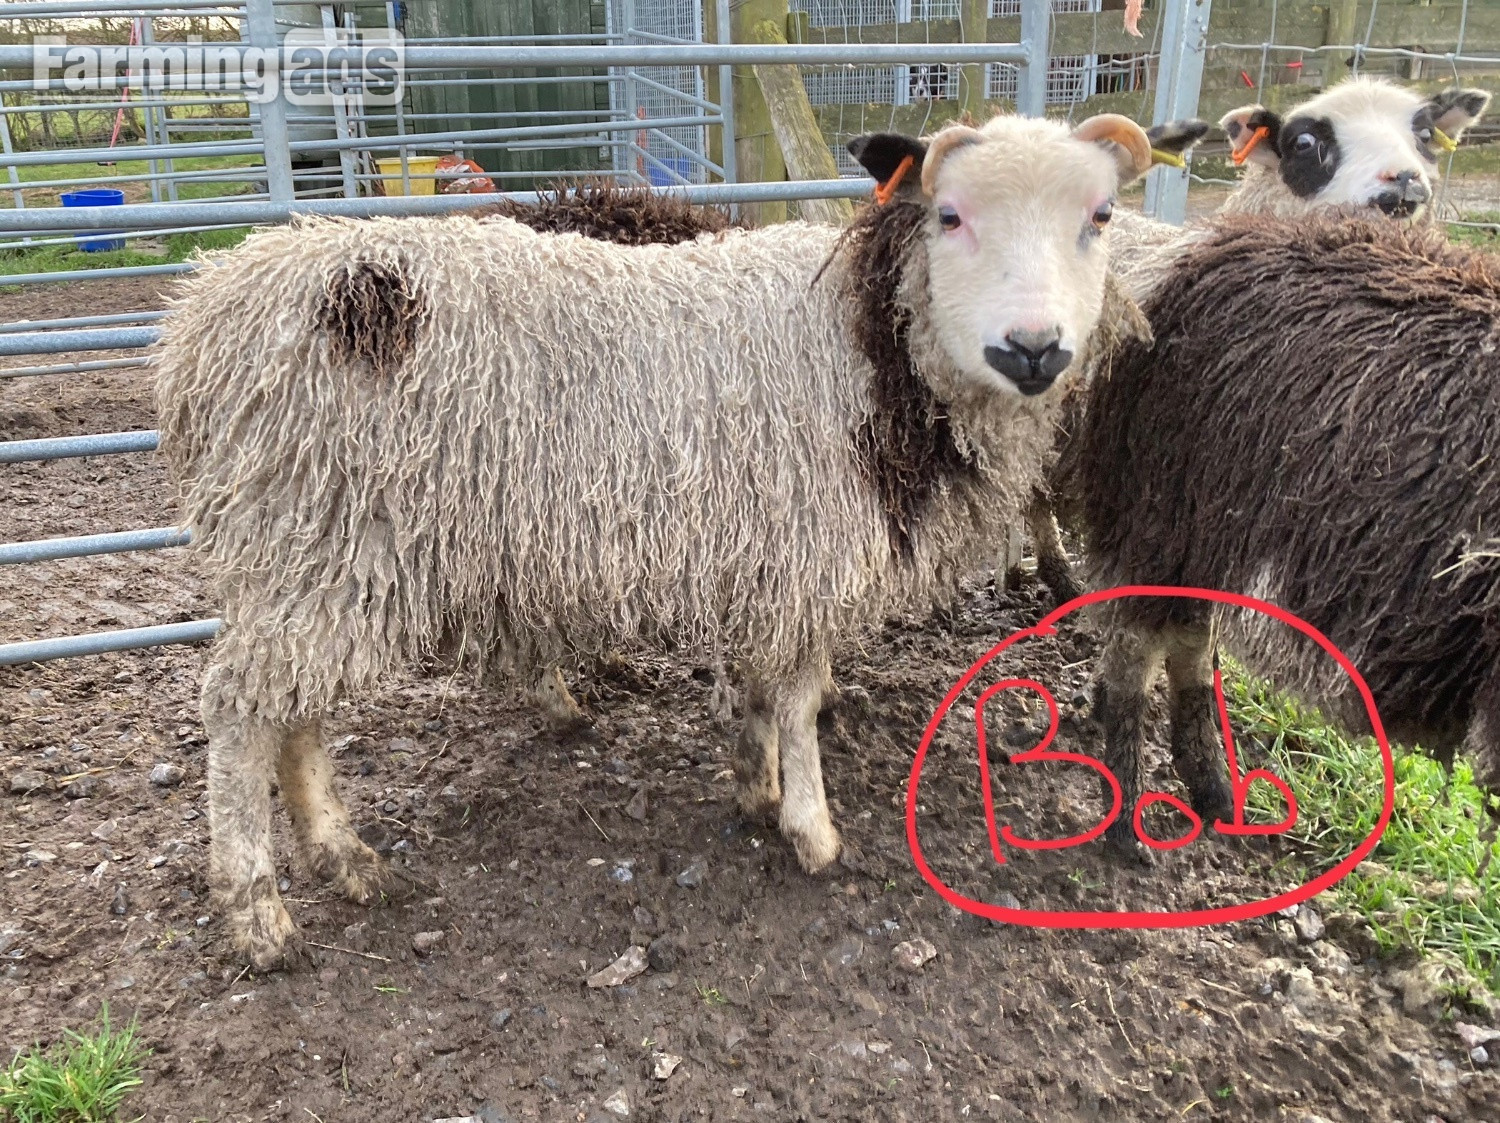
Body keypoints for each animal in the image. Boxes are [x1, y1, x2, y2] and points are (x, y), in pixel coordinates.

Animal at [156, 112, 1163, 967]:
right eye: (950, 215)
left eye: (1100, 217)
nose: (1034, 348)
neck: (874, 345)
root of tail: (202, 322)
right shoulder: (805, 552)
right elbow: (798, 699)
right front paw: (811, 828)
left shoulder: (765, 559)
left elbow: (761, 690)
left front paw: (754, 781)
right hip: (316, 531)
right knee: (240, 710)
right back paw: (258, 910)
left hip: (314, 555)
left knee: (294, 710)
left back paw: (344, 857)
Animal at [1068, 213, 1500, 858]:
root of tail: (1192, 252)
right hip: (1165, 514)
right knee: (1139, 652)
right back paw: (1128, 823)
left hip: (1201, 531)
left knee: (1186, 643)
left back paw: (1213, 796)